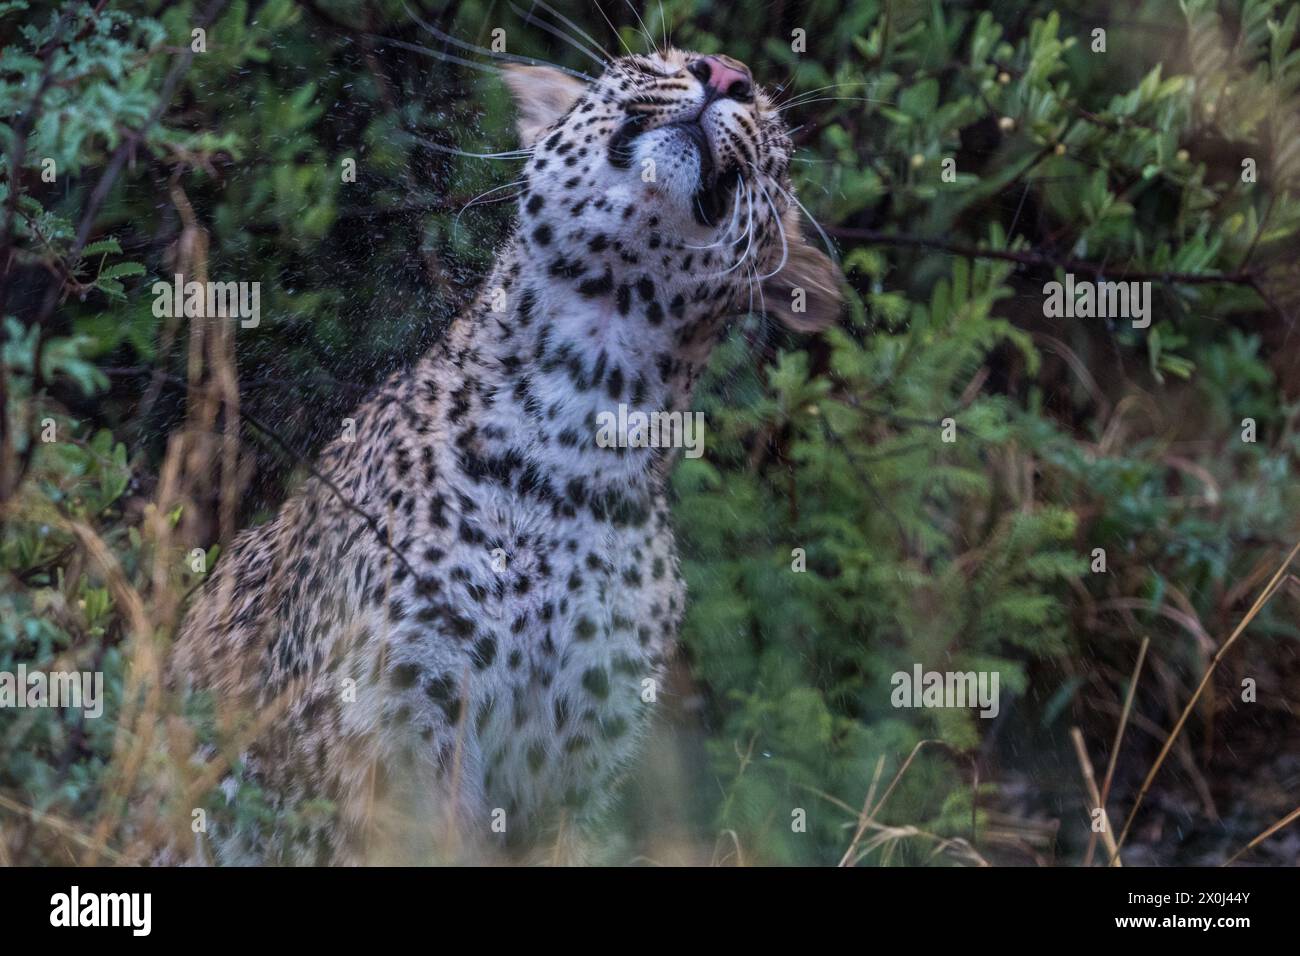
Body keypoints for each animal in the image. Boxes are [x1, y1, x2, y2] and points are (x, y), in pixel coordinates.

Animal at [167, 44, 842, 868]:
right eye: (658, 59)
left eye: (771, 129)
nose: (724, 72)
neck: (580, 409)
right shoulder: (395, 733)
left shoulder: (580, 771)